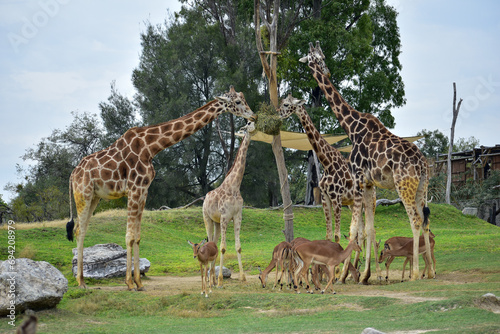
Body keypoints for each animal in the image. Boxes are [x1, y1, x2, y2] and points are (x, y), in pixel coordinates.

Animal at [203, 122, 258, 288]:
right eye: (248, 123)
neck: (234, 187)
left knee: (213, 243)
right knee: (211, 243)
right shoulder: (225, 216)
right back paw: (211, 281)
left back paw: (212, 280)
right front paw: (221, 280)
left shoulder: (237, 216)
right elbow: (223, 248)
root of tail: (204, 199)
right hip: (208, 219)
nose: (255, 125)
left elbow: (238, 247)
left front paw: (243, 278)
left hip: (216, 223)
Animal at [278, 92, 376, 282]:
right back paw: (352, 274)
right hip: (354, 204)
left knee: (371, 231)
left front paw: (335, 272)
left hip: (370, 201)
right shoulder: (325, 198)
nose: (278, 113)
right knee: (360, 233)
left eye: (286, 104)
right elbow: (329, 234)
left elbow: (337, 235)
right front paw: (332, 273)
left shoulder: (336, 197)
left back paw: (367, 274)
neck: (326, 163)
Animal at [298, 41, 432, 282]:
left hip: (404, 185)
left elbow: (354, 230)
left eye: (321, 57)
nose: (326, 71)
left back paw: (416, 274)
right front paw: (365, 276)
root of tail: (423, 164)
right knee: (426, 222)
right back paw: (432, 272)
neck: (352, 128)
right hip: (421, 188)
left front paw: (348, 275)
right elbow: (368, 229)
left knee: (415, 220)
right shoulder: (369, 183)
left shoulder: (359, 178)